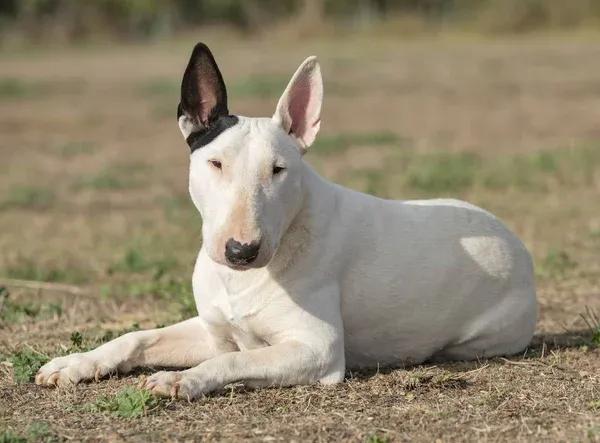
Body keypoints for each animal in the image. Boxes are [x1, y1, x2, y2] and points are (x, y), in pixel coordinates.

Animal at [35, 43, 536, 400]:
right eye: (215, 163)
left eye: (278, 170)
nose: (241, 251)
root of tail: (514, 240)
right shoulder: (214, 330)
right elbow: (137, 337)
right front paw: (74, 363)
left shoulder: (317, 348)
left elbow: (234, 363)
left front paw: (184, 380)